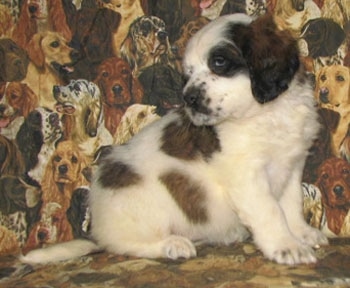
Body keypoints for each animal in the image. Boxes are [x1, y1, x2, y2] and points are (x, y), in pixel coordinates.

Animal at [21, 14, 328, 266]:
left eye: (219, 63)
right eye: (188, 75)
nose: (188, 97)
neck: (266, 113)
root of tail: (97, 229)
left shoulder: (291, 164)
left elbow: (291, 204)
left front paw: (302, 233)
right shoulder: (246, 176)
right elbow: (270, 211)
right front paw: (286, 246)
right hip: (144, 205)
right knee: (125, 245)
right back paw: (173, 244)